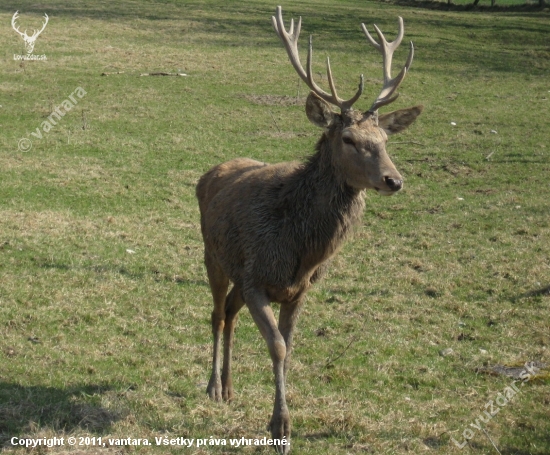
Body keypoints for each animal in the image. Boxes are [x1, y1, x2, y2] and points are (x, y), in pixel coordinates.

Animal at [196, 5, 424, 454]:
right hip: (212, 255)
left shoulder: (298, 289)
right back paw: (213, 387)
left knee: (229, 313)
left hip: (235, 272)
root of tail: (209, 173)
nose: (393, 180)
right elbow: (278, 347)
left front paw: (281, 423)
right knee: (216, 314)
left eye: (385, 138)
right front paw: (280, 427)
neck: (299, 249)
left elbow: (290, 346)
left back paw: (229, 388)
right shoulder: (256, 278)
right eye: (349, 138)